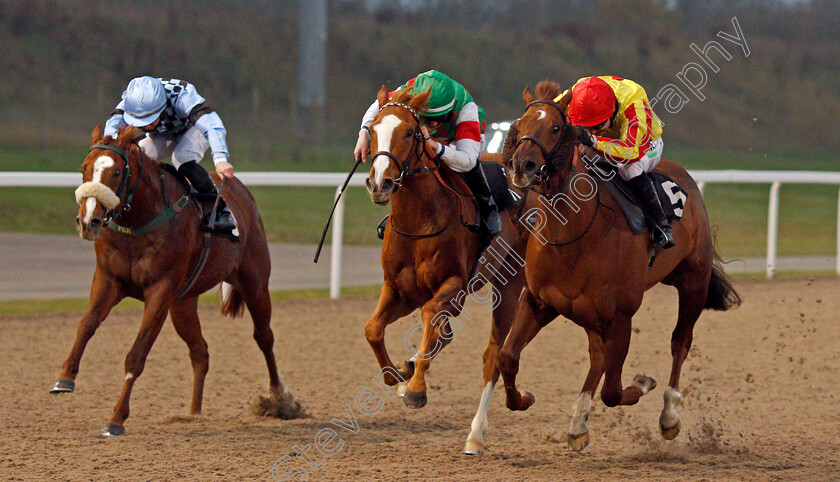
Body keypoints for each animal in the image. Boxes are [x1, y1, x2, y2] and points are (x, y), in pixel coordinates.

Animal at [52, 125, 294, 436]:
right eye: (84, 168)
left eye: (117, 172)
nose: (88, 221)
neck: (140, 222)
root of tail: (241, 192)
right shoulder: (108, 279)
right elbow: (86, 324)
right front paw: (65, 378)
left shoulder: (160, 290)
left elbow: (137, 354)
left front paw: (116, 419)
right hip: (184, 304)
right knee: (200, 351)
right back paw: (194, 413)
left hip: (255, 283)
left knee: (264, 337)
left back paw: (280, 399)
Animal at [362, 87, 532, 456]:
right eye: (373, 130)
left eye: (409, 132)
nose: (380, 183)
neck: (419, 220)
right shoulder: (398, 289)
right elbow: (373, 329)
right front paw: (396, 375)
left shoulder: (453, 283)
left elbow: (430, 316)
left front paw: (416, 388)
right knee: (444, 333)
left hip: (509, 283)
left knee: (492, 356)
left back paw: (475, 436)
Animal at [496, 82, 740, 452]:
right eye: (520, 125)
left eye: (555, 128)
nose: (521, 165)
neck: (573, 233)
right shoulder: (539, 301)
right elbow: (508, 357)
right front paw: (523, 398)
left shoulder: (621, 316)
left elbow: (613, 391)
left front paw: (643, 383)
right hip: (590, 314)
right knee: (598, 357)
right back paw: (578, 423)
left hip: (693, 283)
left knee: (680, 342)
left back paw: (669, 415)